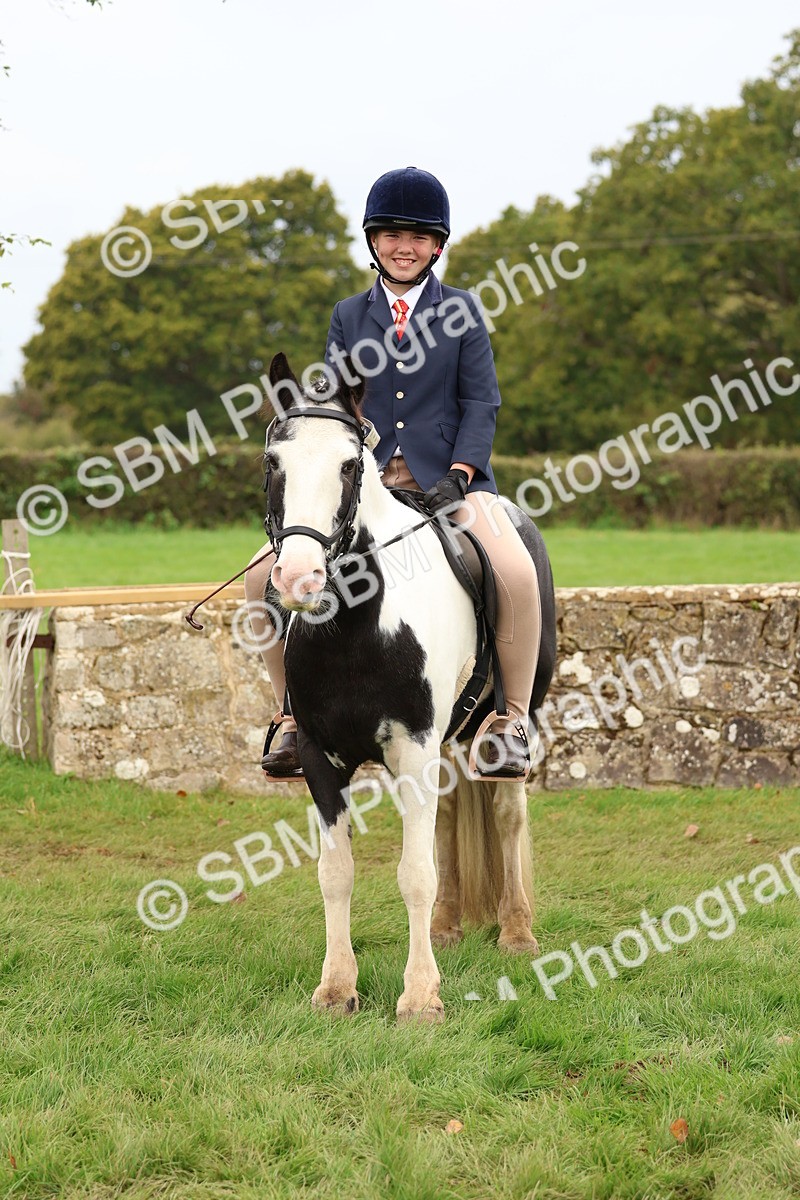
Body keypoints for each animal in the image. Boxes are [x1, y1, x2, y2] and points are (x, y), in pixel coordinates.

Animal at [259, 352, 556, 1022]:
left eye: (349, 466)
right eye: (272, 463)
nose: (298, 578)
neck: (355, 625)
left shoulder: (413, 747)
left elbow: (415, 872)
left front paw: (420, 997)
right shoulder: (319, 756)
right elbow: (336, 873)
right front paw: (336, 987)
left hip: (506, 722)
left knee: (508, 813)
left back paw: (516, 931)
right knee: (446, 819)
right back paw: (446, 926)